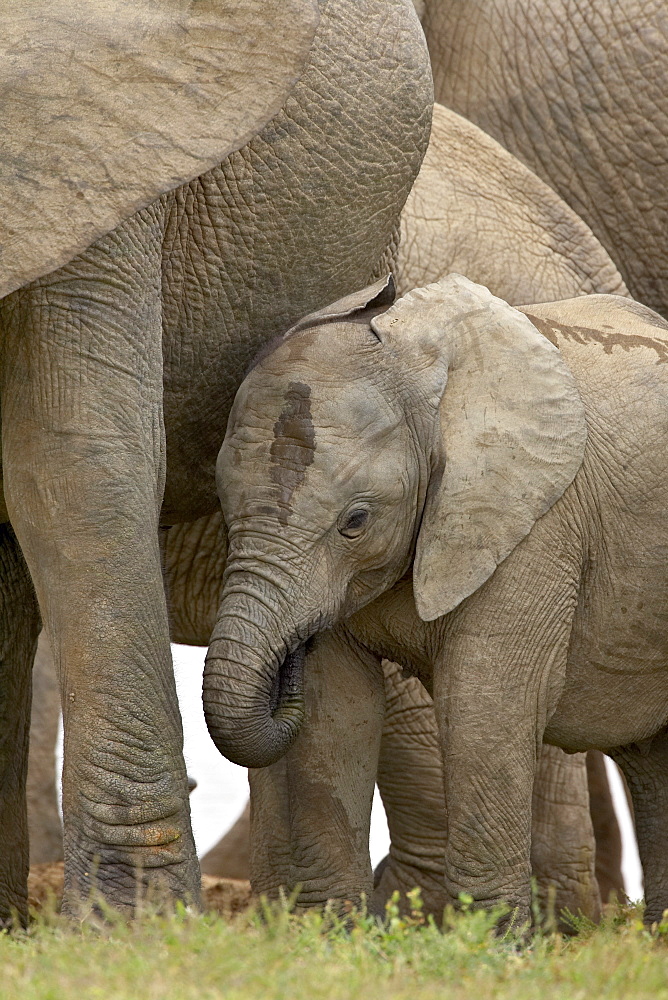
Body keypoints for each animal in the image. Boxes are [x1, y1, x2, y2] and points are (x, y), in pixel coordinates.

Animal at [205, 276, 668, 928]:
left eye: (355, 521)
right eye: (223, 505)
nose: (291, 654)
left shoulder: (536, 524)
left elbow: (483, 702)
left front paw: (490, 944)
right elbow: (335, 709)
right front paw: (332, 936)